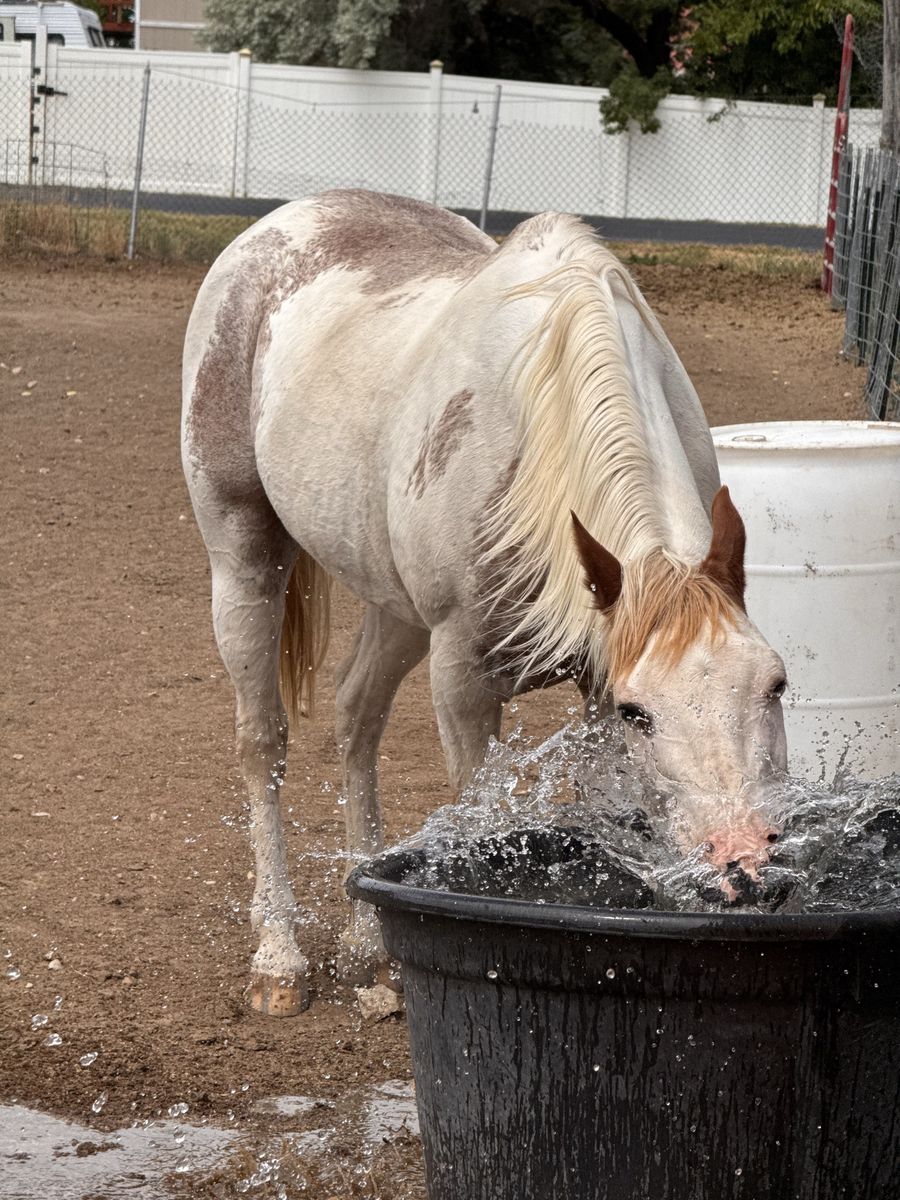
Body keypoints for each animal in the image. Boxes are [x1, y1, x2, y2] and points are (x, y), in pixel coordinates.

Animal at [182, 189, 788, 1017]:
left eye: (776, 684)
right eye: (641, 713)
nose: (742, 863)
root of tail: (282, 222)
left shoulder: (593, 676)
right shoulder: (465, 679)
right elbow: (484, 824)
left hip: (396, 609)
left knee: (356, 717)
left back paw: (367, 948)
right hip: (243, 558)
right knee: (262, 742)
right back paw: (279, 956)